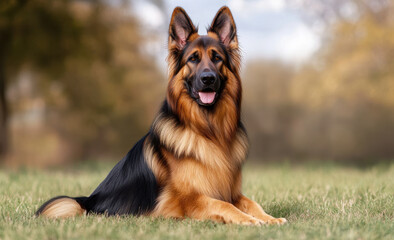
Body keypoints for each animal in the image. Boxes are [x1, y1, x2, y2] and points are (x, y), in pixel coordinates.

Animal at [36, 6, 286, 226]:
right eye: (193, 59)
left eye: (217, 58)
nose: (208, 79)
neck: (208, 130)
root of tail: (88, 201)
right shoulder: (190, 199)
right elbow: (224, 205)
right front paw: (250, 221)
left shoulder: (231, 192)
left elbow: (251, 203)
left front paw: (269, 218)